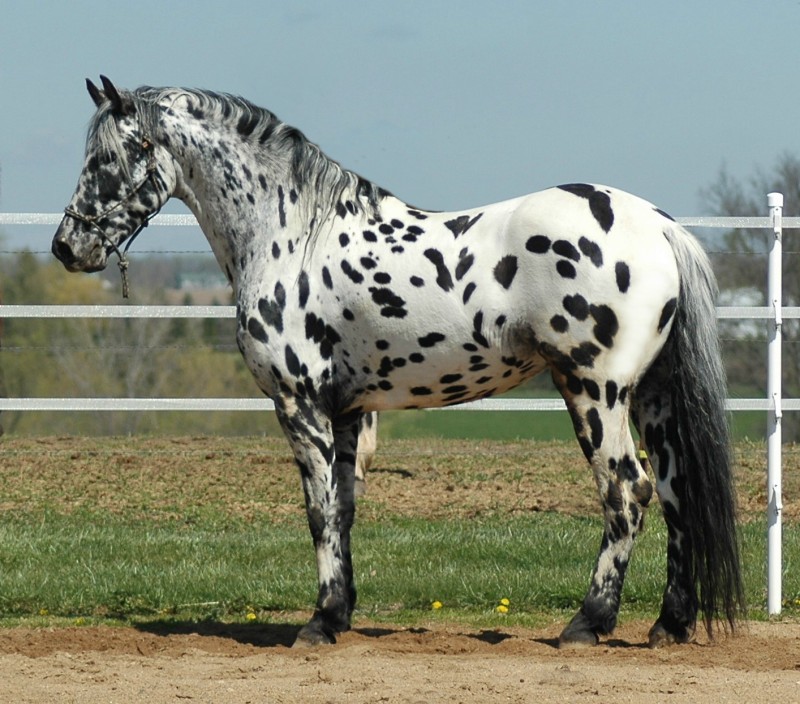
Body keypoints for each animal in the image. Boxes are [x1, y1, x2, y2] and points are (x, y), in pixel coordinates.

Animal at [52, 76, 744, 648]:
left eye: (105, 160)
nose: (67, 246)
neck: (292, 234)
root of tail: (657, 226)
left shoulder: (298, 403)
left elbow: (318, 510)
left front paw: (318, 623)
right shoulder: (348, 411)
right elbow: (344, 507)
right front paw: (339, 613)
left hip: (594, 391)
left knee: (627, 491)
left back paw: (587, 624)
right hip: (652, 396)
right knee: (676, 493)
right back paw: (669, 625)